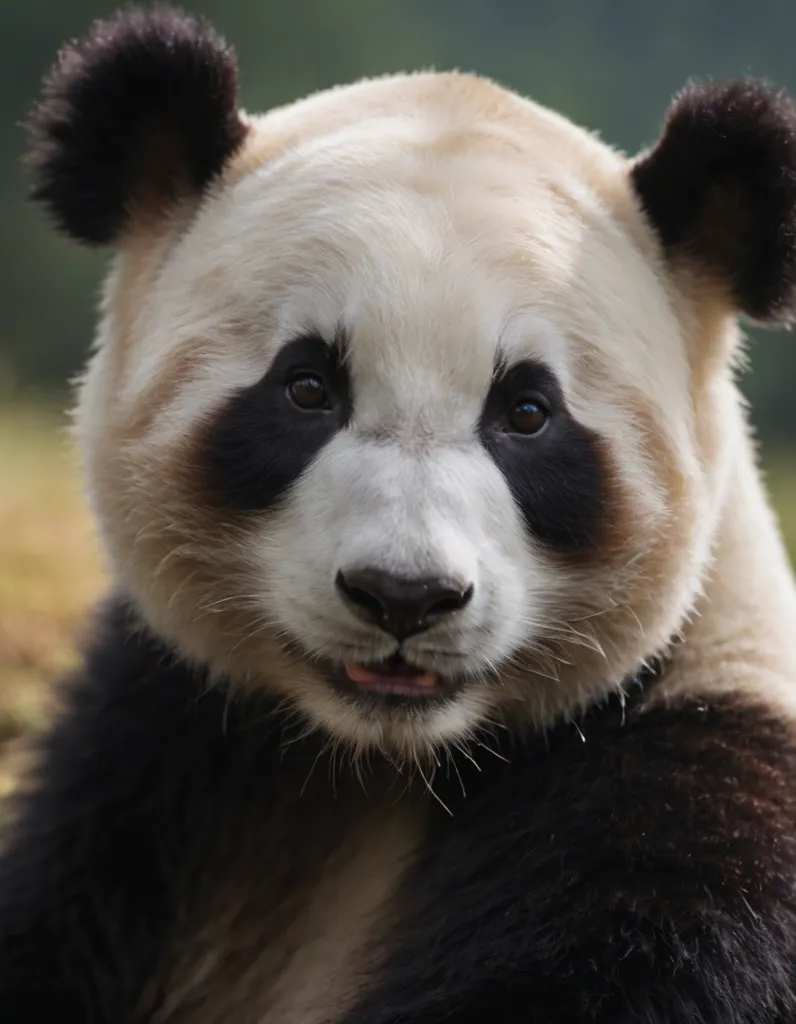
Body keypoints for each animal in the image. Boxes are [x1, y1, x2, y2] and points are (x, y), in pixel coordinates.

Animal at [4, 4, 794, 1019]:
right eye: (306, 387)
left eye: (527, 412)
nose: (403, 597)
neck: (384, 759)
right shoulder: (150, 766)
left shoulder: (689, 793)